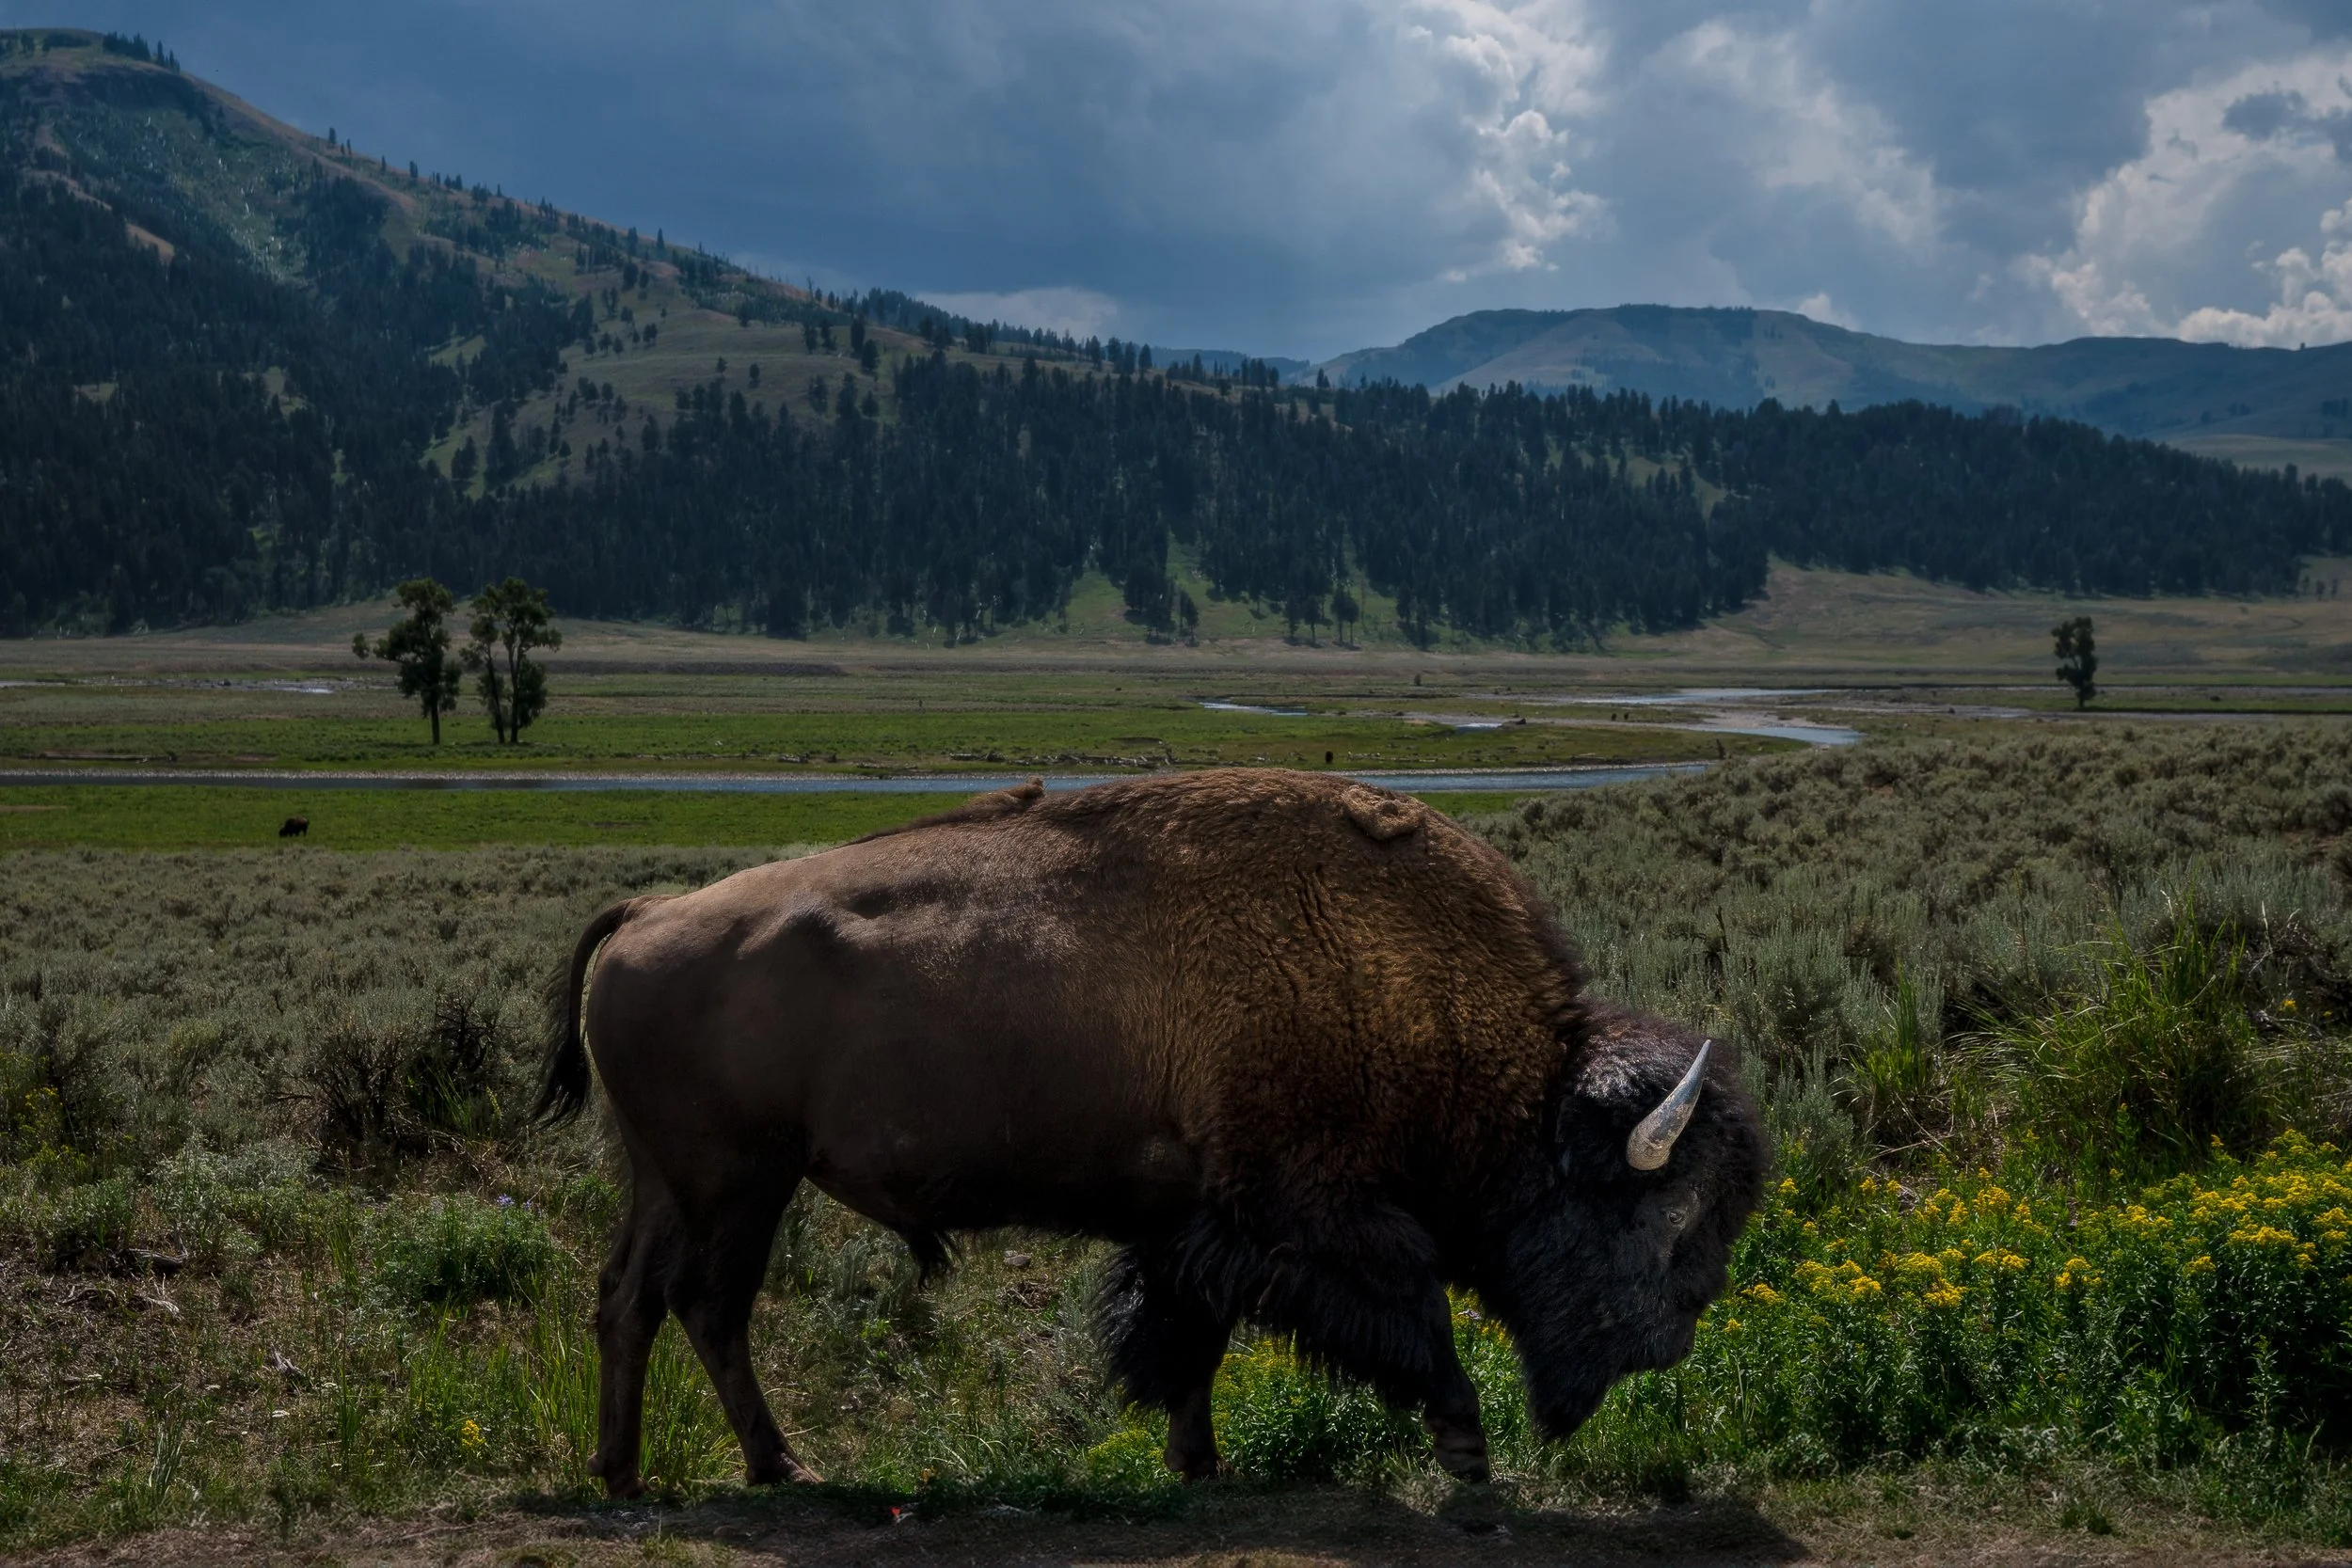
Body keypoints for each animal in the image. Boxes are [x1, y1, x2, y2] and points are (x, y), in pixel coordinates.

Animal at [537, 769, 1766, 1497]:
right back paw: (774, 1464)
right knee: (706, 1304)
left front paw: (1197, 1461)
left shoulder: (1205, 1224)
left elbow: (1191, 1338)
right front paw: (1465, 1446)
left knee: (632, 1298)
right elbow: (1408, 1313)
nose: (1668, 1347)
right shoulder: (1315, 1214)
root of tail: (646, 914)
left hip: (674, 1182)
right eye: (1663, 1227)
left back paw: (628, 1470)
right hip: (737, 1183)